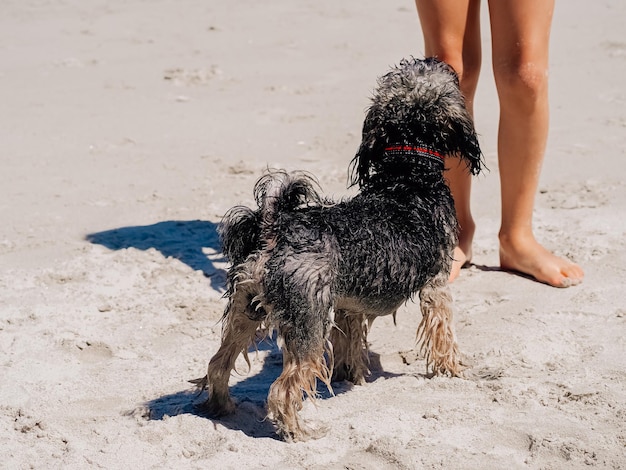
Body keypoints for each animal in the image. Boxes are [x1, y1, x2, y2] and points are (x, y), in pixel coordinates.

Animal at [194, 57, 482, 440]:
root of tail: (275, 229)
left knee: (218, 363)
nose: (436, 59)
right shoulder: (436, 286)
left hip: (246, 310)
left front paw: (353, 377)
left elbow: (351, 347)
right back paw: (298, 431)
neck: (407, 173)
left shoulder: (349, 305)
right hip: (308, 324)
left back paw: (221, 407)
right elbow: (444, 336)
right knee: (284, 387)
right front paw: (454, 371)